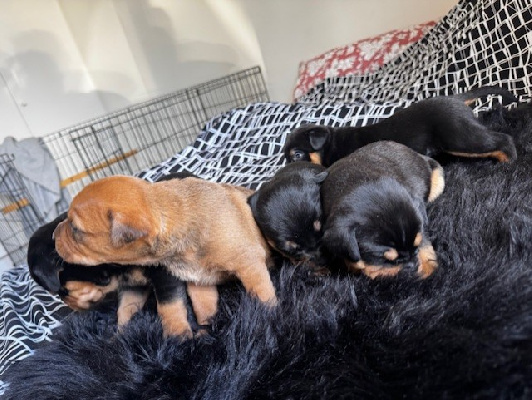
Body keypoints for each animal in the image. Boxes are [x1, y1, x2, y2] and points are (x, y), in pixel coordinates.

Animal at [53, 175, 276, 337]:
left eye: (75, 228)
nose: (54, 234)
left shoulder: (249, 264)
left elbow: (262, 293)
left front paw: (268, 317)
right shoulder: (199, 281)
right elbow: (203, 308)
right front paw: (206, 332)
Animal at [284, 86, 518, 167]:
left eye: (297, 155)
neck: (329, 145)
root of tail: (455, 99)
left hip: (458, 136)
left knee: (502, 140)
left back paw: (508, 162)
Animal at [321, 141, 444, 279]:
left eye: (415, 247)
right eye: (383, 259)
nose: (413, 267)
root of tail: (419, 155)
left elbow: (424, 242)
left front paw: (428, 268)